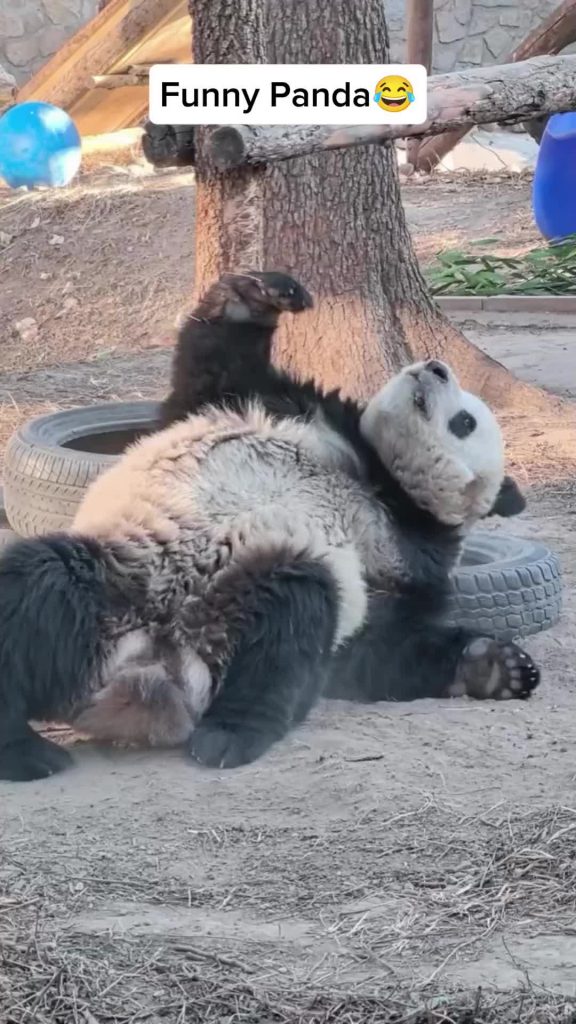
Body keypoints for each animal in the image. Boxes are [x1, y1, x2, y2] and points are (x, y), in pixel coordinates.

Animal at [0, 273, 540, 783]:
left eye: (465, 422)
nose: (436, 367)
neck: (378, 475)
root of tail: (157, 665)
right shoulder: (286, 408)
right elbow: (211, 369)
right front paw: (261, 296)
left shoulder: (406, 557)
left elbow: (376, 648)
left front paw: (494, 668)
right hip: (123, 570)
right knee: (36, 585)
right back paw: (27, 751)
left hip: (255, 579)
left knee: (290, 626)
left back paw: (228, 735)